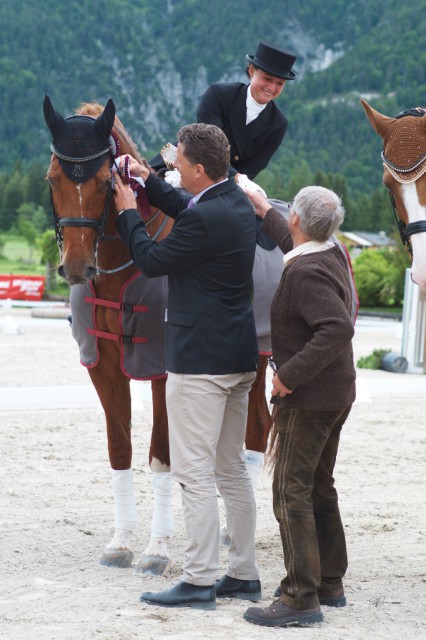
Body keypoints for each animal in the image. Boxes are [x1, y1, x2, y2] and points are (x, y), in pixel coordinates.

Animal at [43, 95, 274, 576]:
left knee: (259, 429)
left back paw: (232, 529)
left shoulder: (165, 372)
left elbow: (162, 456)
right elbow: (120, 449)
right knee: (252, 428)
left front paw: (157, 549)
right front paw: (120, 542)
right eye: (53, 178)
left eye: (104, 181)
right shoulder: (102, 365)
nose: (76, 268)